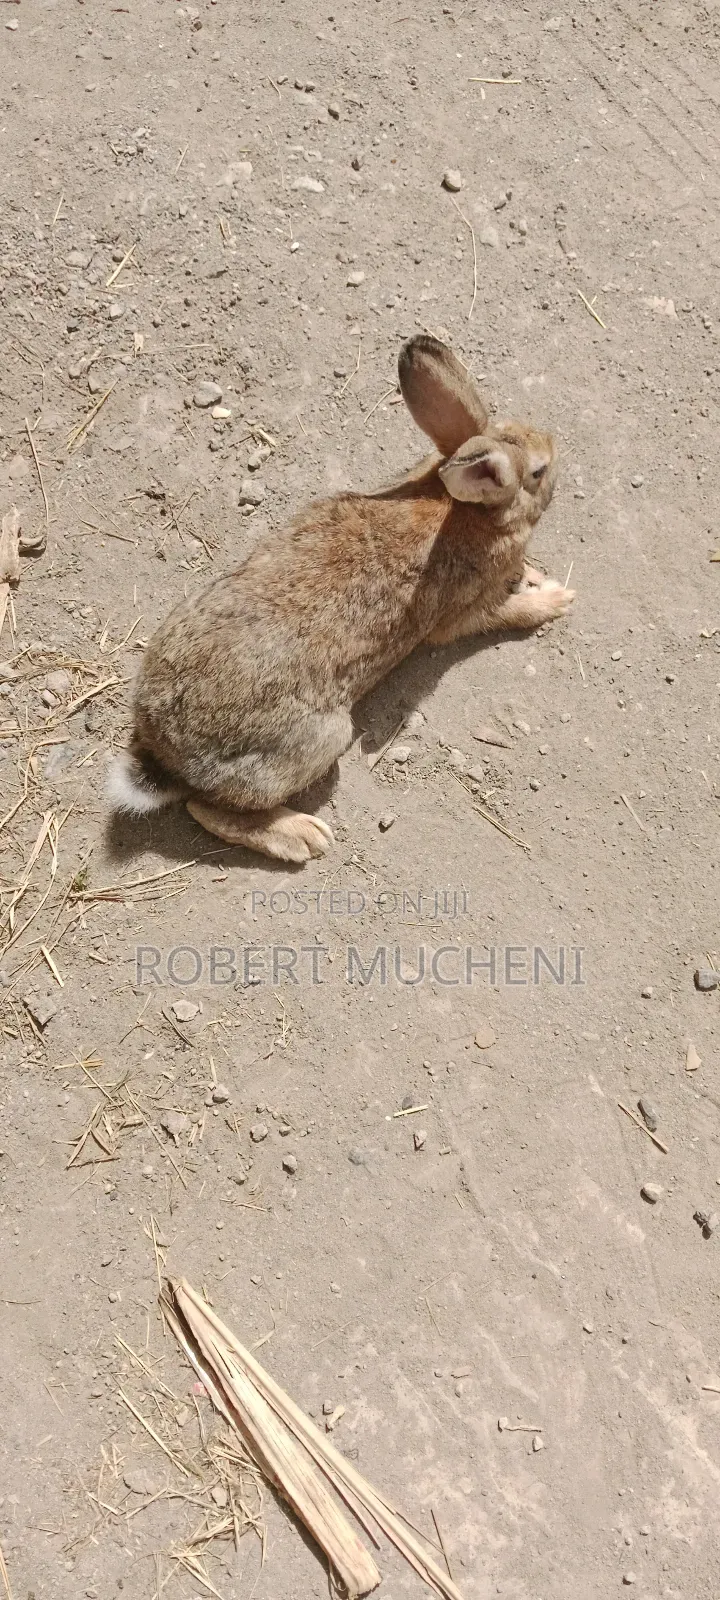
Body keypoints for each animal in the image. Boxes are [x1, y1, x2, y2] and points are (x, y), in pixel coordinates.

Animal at [108, 334, 573, 862]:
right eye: (538, 472)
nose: (555, 444)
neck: (470, 511)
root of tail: (167, 751)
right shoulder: (464, 613)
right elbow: (504, 612)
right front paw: (556, 598)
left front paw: (536, 576)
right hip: (321, 739)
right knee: (206, 810)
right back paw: (302, 836)